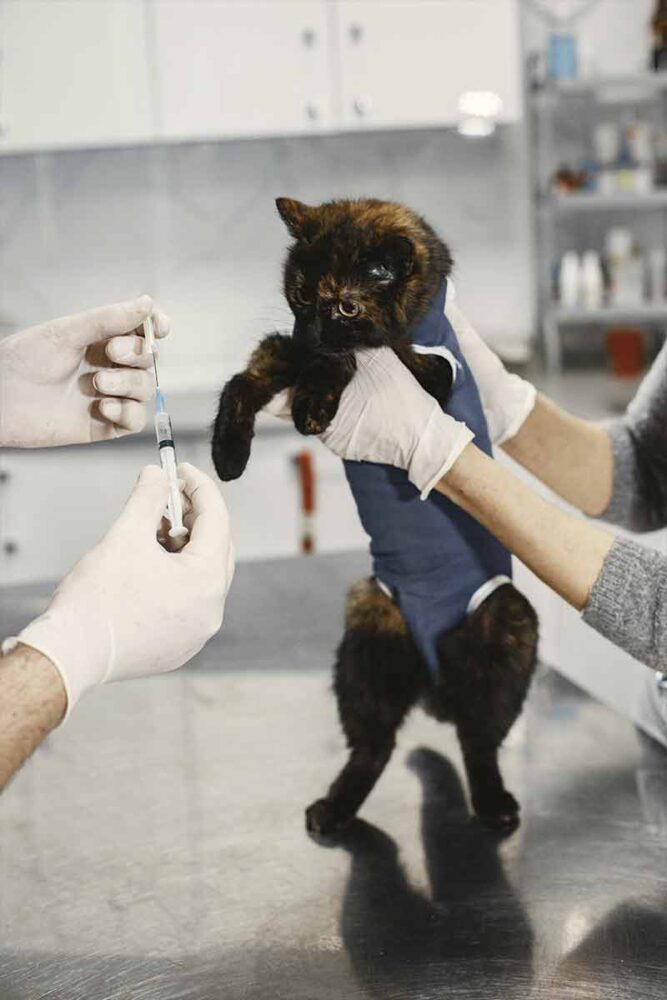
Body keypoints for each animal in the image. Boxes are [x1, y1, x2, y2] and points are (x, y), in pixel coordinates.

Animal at [211, 197, 540, 836]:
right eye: (300, 292)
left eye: (345, 304)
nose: (312, 331)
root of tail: (431, 670)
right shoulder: (285, 348)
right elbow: (248, 374)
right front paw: (228, 453)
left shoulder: (430, 373)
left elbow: (353, 360)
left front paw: (315, 399)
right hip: (366, 627)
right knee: (374, 746)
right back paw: (333, 809)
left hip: (508, 623)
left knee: (478, 739)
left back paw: (494, 803)